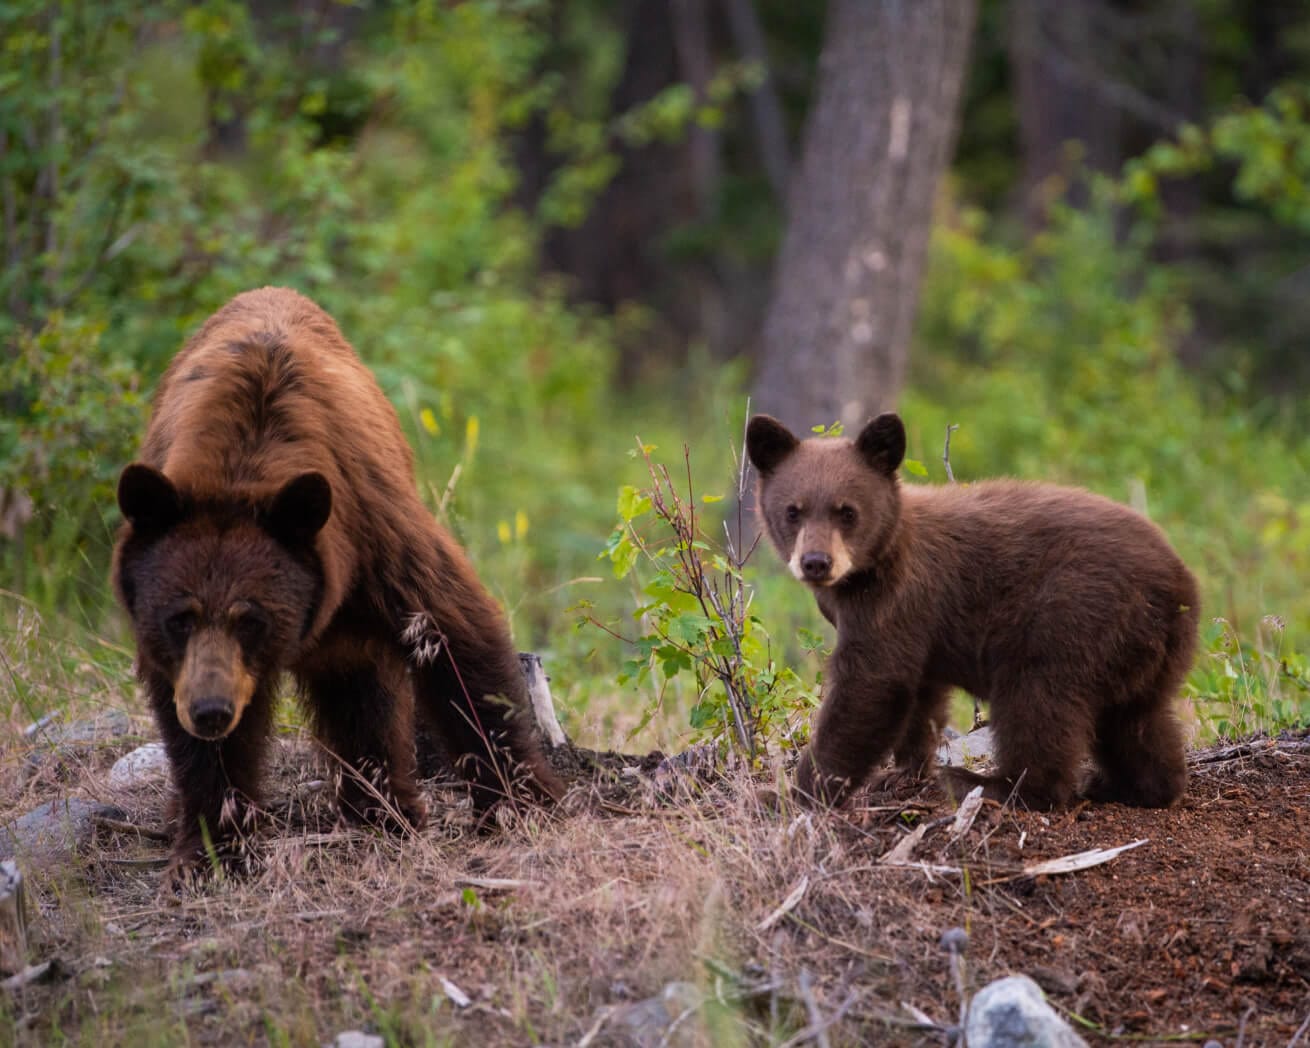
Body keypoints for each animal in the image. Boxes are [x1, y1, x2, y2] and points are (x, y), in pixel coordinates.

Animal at [113, 284, 563, 875]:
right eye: (178, 618)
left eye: (251, 619)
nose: (211, 711)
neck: (242, 465)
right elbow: (196, 743)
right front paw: (214, 848)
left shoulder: (375, 534)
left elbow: (455, 636)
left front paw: (520, 802)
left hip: (352, 628)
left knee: (363, 699)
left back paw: (384, 811)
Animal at [749, 413, 1199, 812]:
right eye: (793, 510)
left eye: (847, 511)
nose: (815, 562)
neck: (874, 563)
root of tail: (1178, 586)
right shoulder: (916, 626)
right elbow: (919, 695)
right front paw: (903, 771)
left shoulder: (896, 600)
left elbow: (870, 687)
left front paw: (795, 794)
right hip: (1142, 651)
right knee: (1136, 720)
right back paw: (1133, 786)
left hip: (1071, 617)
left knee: (1037, 702)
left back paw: (995, 785)